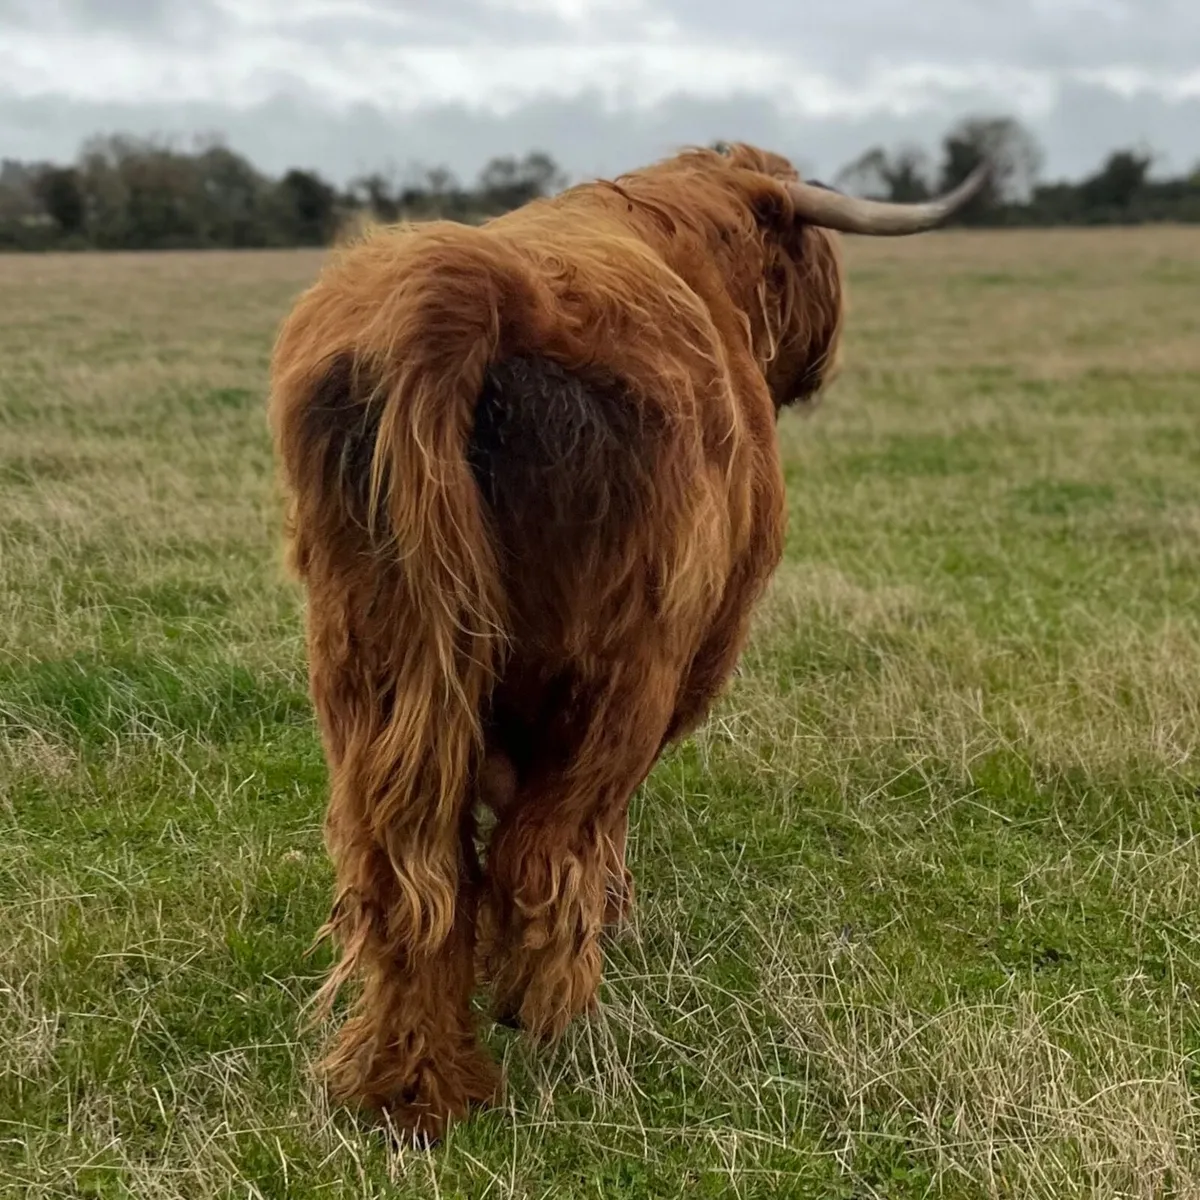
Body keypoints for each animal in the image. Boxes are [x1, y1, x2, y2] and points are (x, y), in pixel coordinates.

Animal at [266, 142, 987, 1142]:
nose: (820, 360)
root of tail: (470, 284)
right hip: (622, 677)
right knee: (542, 844)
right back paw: (547, 1011)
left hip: (363, 667)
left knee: (411, 875)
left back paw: (413, 1087)